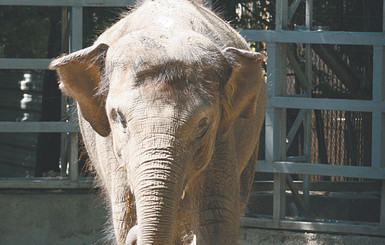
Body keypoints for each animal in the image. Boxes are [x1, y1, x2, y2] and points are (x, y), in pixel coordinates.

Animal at [50, 0, 264, 245]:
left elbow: (215, 218)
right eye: (120, 119)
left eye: (202, 124)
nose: (136, 234)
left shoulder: (223, 137)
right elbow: (125, 215)